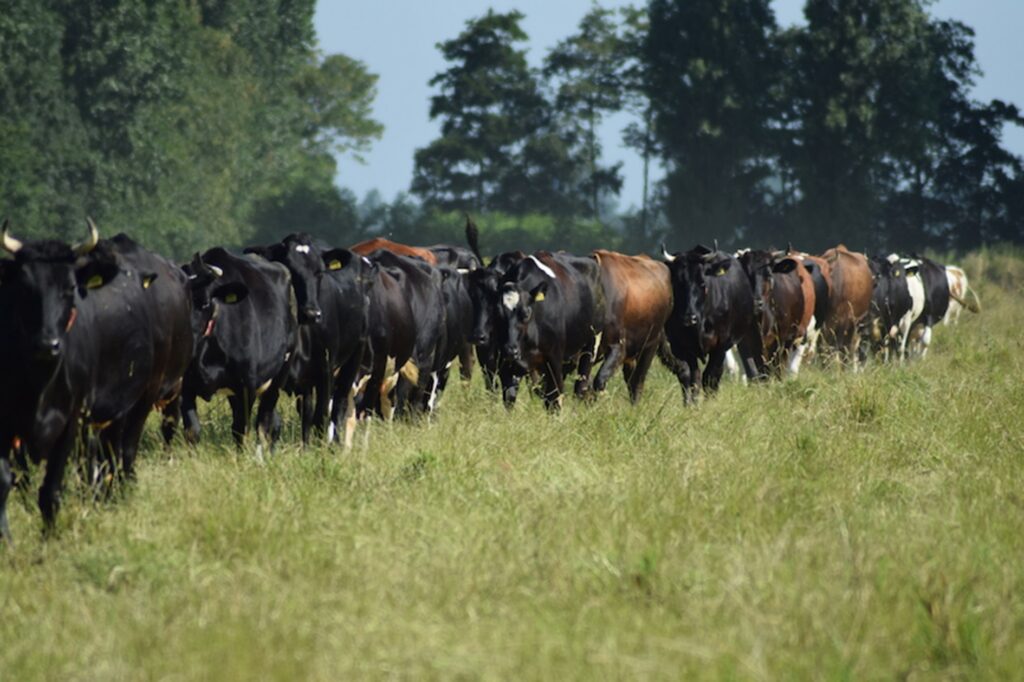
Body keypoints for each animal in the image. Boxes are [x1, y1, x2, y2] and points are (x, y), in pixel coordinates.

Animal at [175, 246, 296, 448]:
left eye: (205, 302)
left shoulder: (246, 386)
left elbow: (241, 430)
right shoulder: (185, 387)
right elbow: (192, 431)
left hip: (278, 377)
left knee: (264, 422)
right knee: (273, 423)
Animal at [242, 233, 372, 446]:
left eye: (319, 272)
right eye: (290, 270)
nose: (311, 314)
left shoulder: (325, 371)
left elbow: (322, 417)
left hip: (353, 358)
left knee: (338, 405)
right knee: (307, 411)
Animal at [497, 250, 606, 405]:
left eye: (526, 313)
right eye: (497, 313)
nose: (510, 350)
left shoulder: (554, 359)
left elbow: (554, 397)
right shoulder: (506, 365)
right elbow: (510, 397)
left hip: (591, 343)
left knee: (580, 386)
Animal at [659, 244, 765, 403]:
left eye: (702, 283)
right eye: (678, 284)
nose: (690, 318)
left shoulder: (721, 345)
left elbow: (710, 377)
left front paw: (710, 404)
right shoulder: (680, 346)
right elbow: (690, 377)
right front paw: (691, 404)